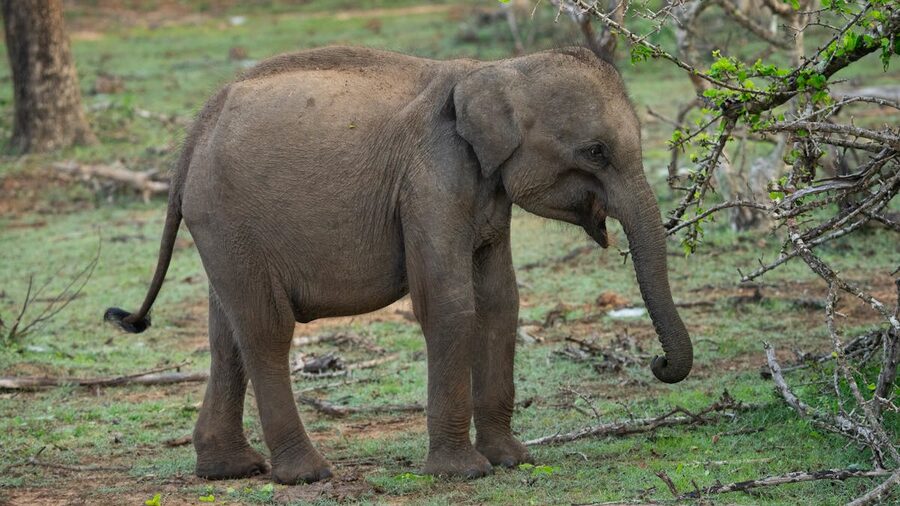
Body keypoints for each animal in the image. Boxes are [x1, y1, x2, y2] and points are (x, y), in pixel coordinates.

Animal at [105, 45, 693, 484]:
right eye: (595, 152)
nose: (658, 364)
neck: (494, 70)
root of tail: (194, 133)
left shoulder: (485, 191)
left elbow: (501, 302)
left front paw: (513, 460)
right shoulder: (431, 178)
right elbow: (449, 303)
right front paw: (463, 473)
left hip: (221, 229)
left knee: (226, 331)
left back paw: (230, 470)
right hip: (229, 218)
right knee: (266, 328)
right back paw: (307, 474)